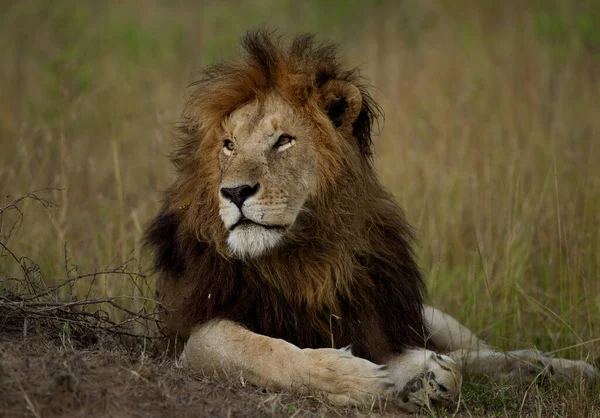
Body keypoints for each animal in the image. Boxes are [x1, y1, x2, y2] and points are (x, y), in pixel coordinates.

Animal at [144, 31, 596, 410]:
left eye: (283, 140)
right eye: (228, 146)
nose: (235, 192)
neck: (303, 256)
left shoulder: (378, 318)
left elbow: (442, 364)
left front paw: (420, 379)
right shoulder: (193, 334)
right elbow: (263, 350)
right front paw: (356, 378)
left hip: (426, 313)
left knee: (469, 351)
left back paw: (556, 367)